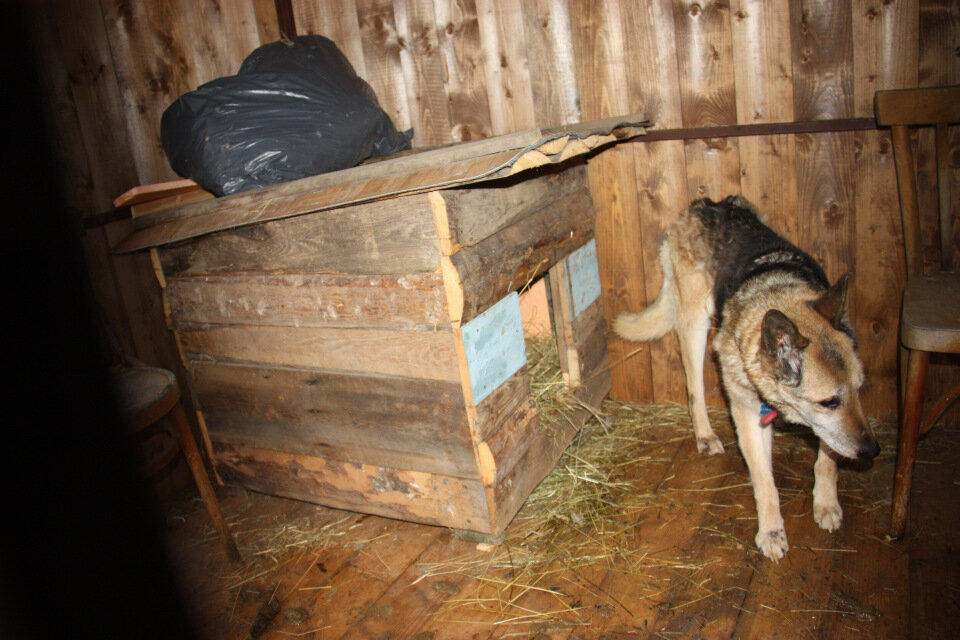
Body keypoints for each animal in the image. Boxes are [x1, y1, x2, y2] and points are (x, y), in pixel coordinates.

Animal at [616, 196, 876, 560]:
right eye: (829, 401)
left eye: (859, 389)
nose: (873, 451)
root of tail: (702, 204)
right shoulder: (748, 412)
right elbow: (767, 484)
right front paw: (771, 531)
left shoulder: (830, 428)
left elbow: (827, 460)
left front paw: (826, 503)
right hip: (695, 326)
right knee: (694, 389)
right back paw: (705, 436)